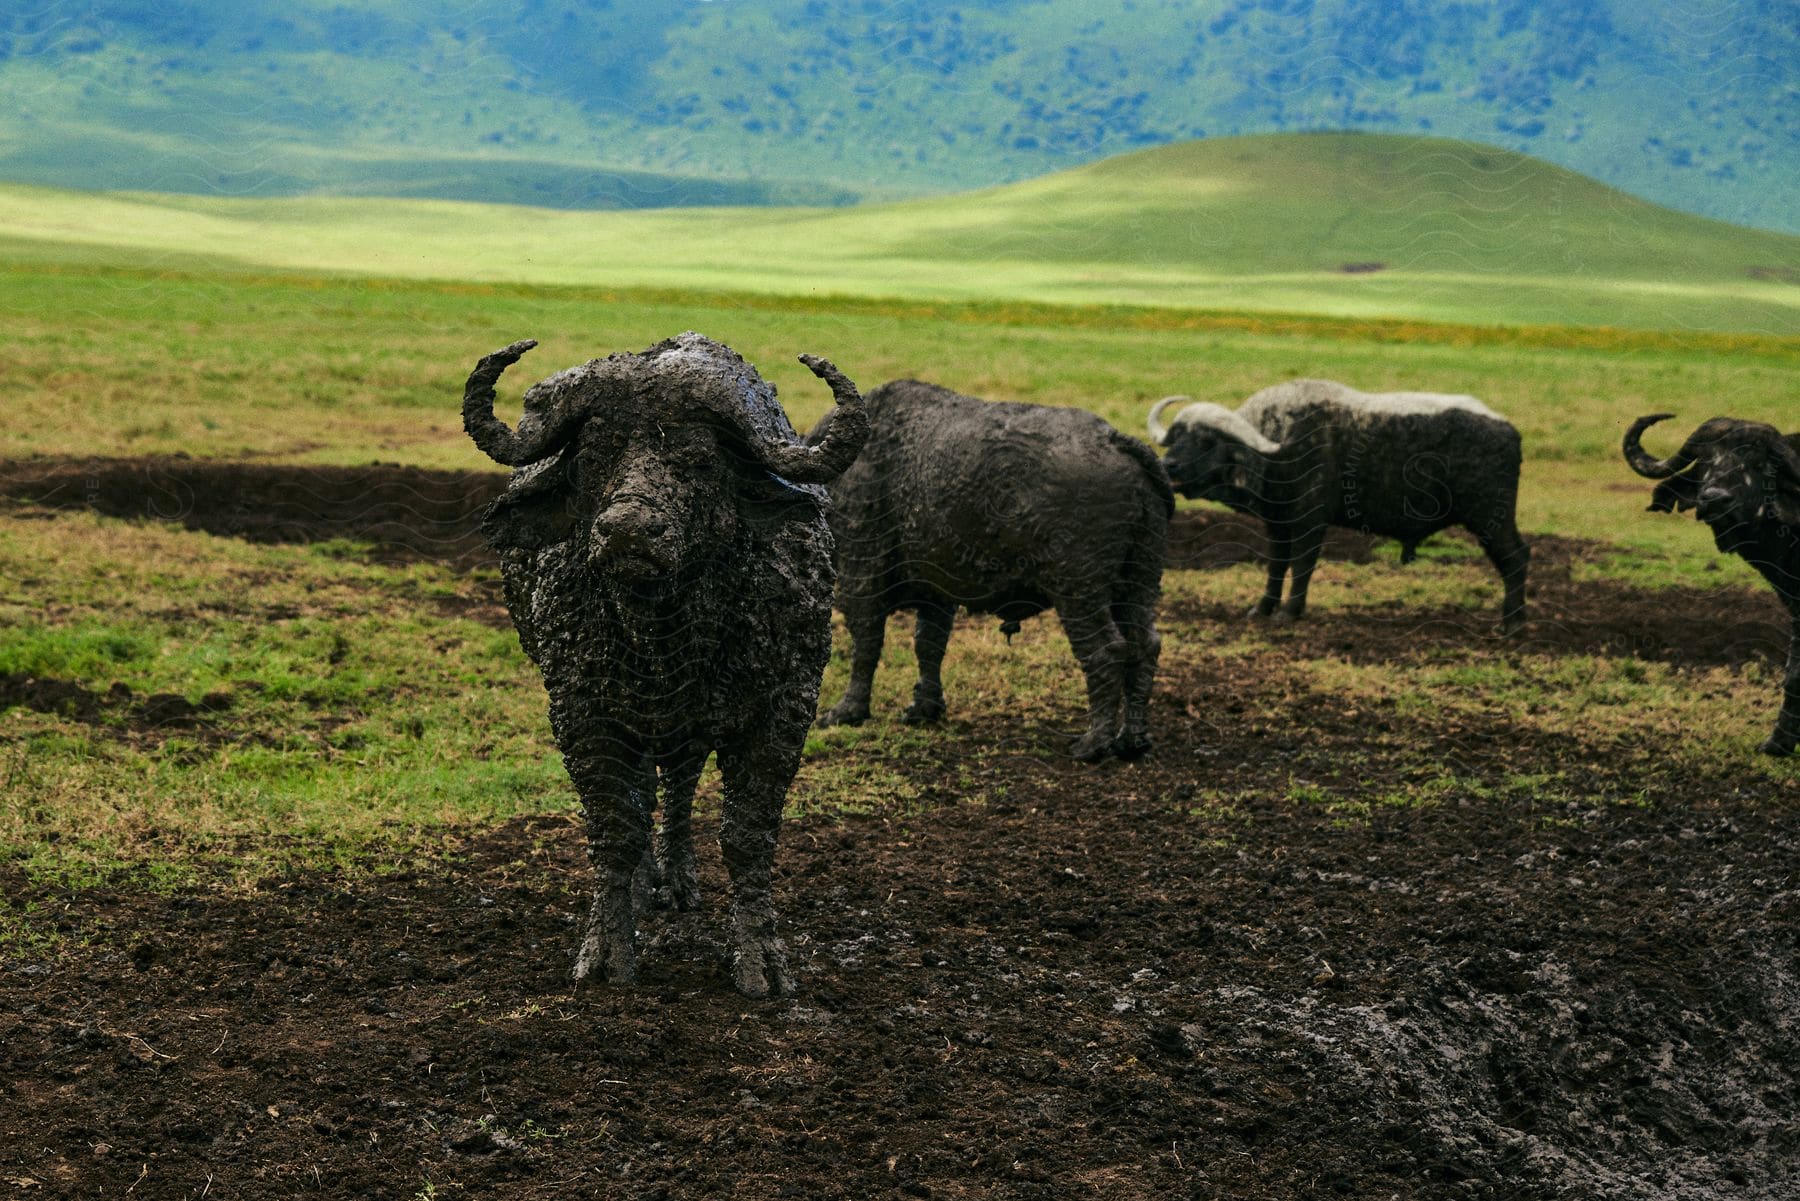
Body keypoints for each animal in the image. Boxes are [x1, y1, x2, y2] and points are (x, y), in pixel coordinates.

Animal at [457, 331, 864, 993]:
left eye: (698, 458)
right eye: (596, 455)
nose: (627, 531)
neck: (666, 628)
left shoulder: (784, 709)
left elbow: (748, 835)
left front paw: (762, 960)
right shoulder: (582, 710)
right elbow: (615, 826)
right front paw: (606, 950)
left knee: (678, 783)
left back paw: (675, 878)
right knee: (648, 790)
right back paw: (649, 884)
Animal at [813, 379, 1166, 759]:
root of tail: (1115, 439)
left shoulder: (861, 578)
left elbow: (866, 644)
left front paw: (847, 711)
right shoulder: (937, 592)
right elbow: (929, 644)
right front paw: (925, 708)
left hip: (1079, 590)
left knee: (1106, 651)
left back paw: (1093, 743)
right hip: (1138, 583)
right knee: (1145, 645)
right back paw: (1132, 740)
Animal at [1152, 379, 1533, 633]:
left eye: (1207, 442)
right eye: (1177, 436)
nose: (1169, 465)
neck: (1281, 448)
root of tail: (1510, 431)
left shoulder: (1310, 522)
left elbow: (1302, 565)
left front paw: (1290, 611)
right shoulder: (1277, 522)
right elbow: (1276, 565)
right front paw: (1262, 607)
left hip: (1491, 518)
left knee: (1515, 558)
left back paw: (1510, 624)